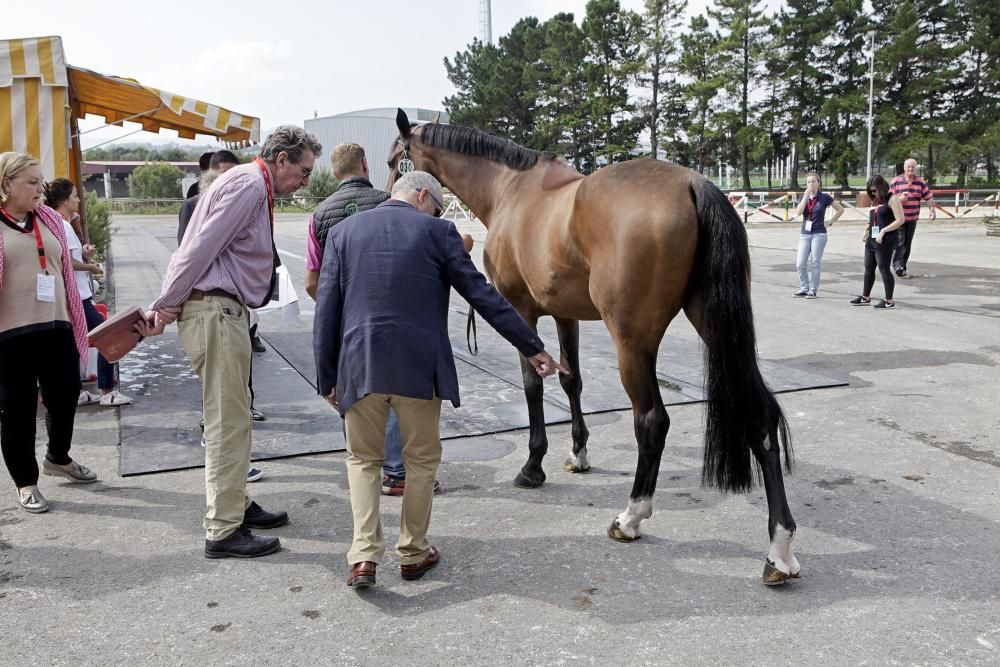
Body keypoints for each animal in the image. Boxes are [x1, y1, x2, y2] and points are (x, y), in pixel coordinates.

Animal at [386, 108, 800, 584]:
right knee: (761, 415)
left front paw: (533, 465)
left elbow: (533, 384)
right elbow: (572, 381)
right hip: (714, 323)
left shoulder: (521, 310)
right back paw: (780, 549)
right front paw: (578, 453)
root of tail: (693, 185)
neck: (510, 188)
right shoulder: (565, 315)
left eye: (395, 159)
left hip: (632, 343)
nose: (386, 197)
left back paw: (631, 517)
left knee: (652, 420)